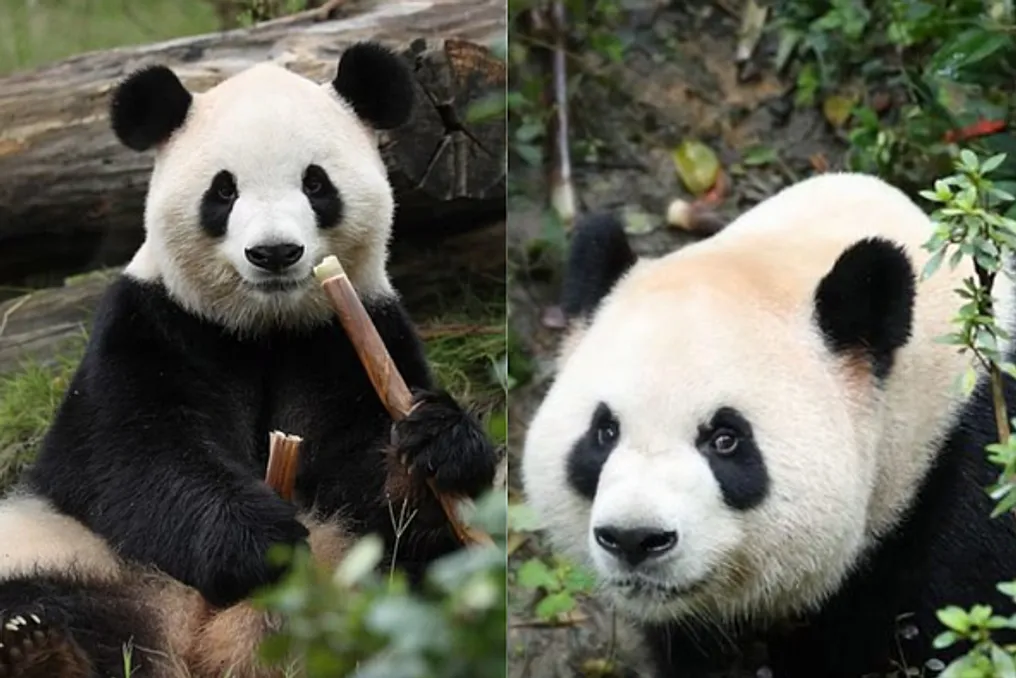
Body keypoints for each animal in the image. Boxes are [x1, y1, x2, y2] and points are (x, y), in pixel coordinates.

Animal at [0, 41, 499, 678]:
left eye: (316, 183)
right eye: (223, 191)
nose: (274, 253)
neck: (266, 328)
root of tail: (194, 643)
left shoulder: (350, 336)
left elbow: (370, 479)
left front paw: (436, 443)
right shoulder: (150, 325)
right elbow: (131, 454)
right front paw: (259, 540)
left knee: (434, 586)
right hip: (68, 548)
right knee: (44, 595)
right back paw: (37, 645)